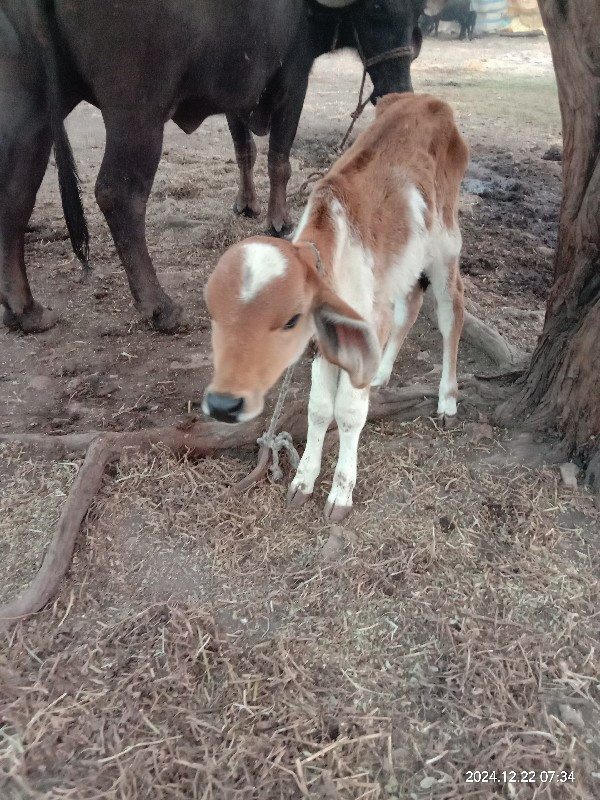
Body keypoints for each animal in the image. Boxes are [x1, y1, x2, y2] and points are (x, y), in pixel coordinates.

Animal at [0, 0, 424, 332]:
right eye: (377, 7)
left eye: (417, 9)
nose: (399, 89)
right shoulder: (293, 79)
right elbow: (279, 158)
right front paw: (279, 219)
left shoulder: (238, 95)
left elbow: (245, 150)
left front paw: (248, 204)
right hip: (138, 111)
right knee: (118, 193)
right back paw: (160, 307)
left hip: (32, 105)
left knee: (18, 191)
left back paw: (26, 310)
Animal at [204, 92, 472, 520]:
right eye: (214, 314)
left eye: (291, 319)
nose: (224, 404)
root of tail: (431, 100)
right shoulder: (330, 336)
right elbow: (318, 408)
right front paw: (303, 480)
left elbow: (347, 413)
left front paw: (341, 493)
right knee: (409, 304)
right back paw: (381, 372)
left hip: (445, 245)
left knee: (452, 312)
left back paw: (447, 399)